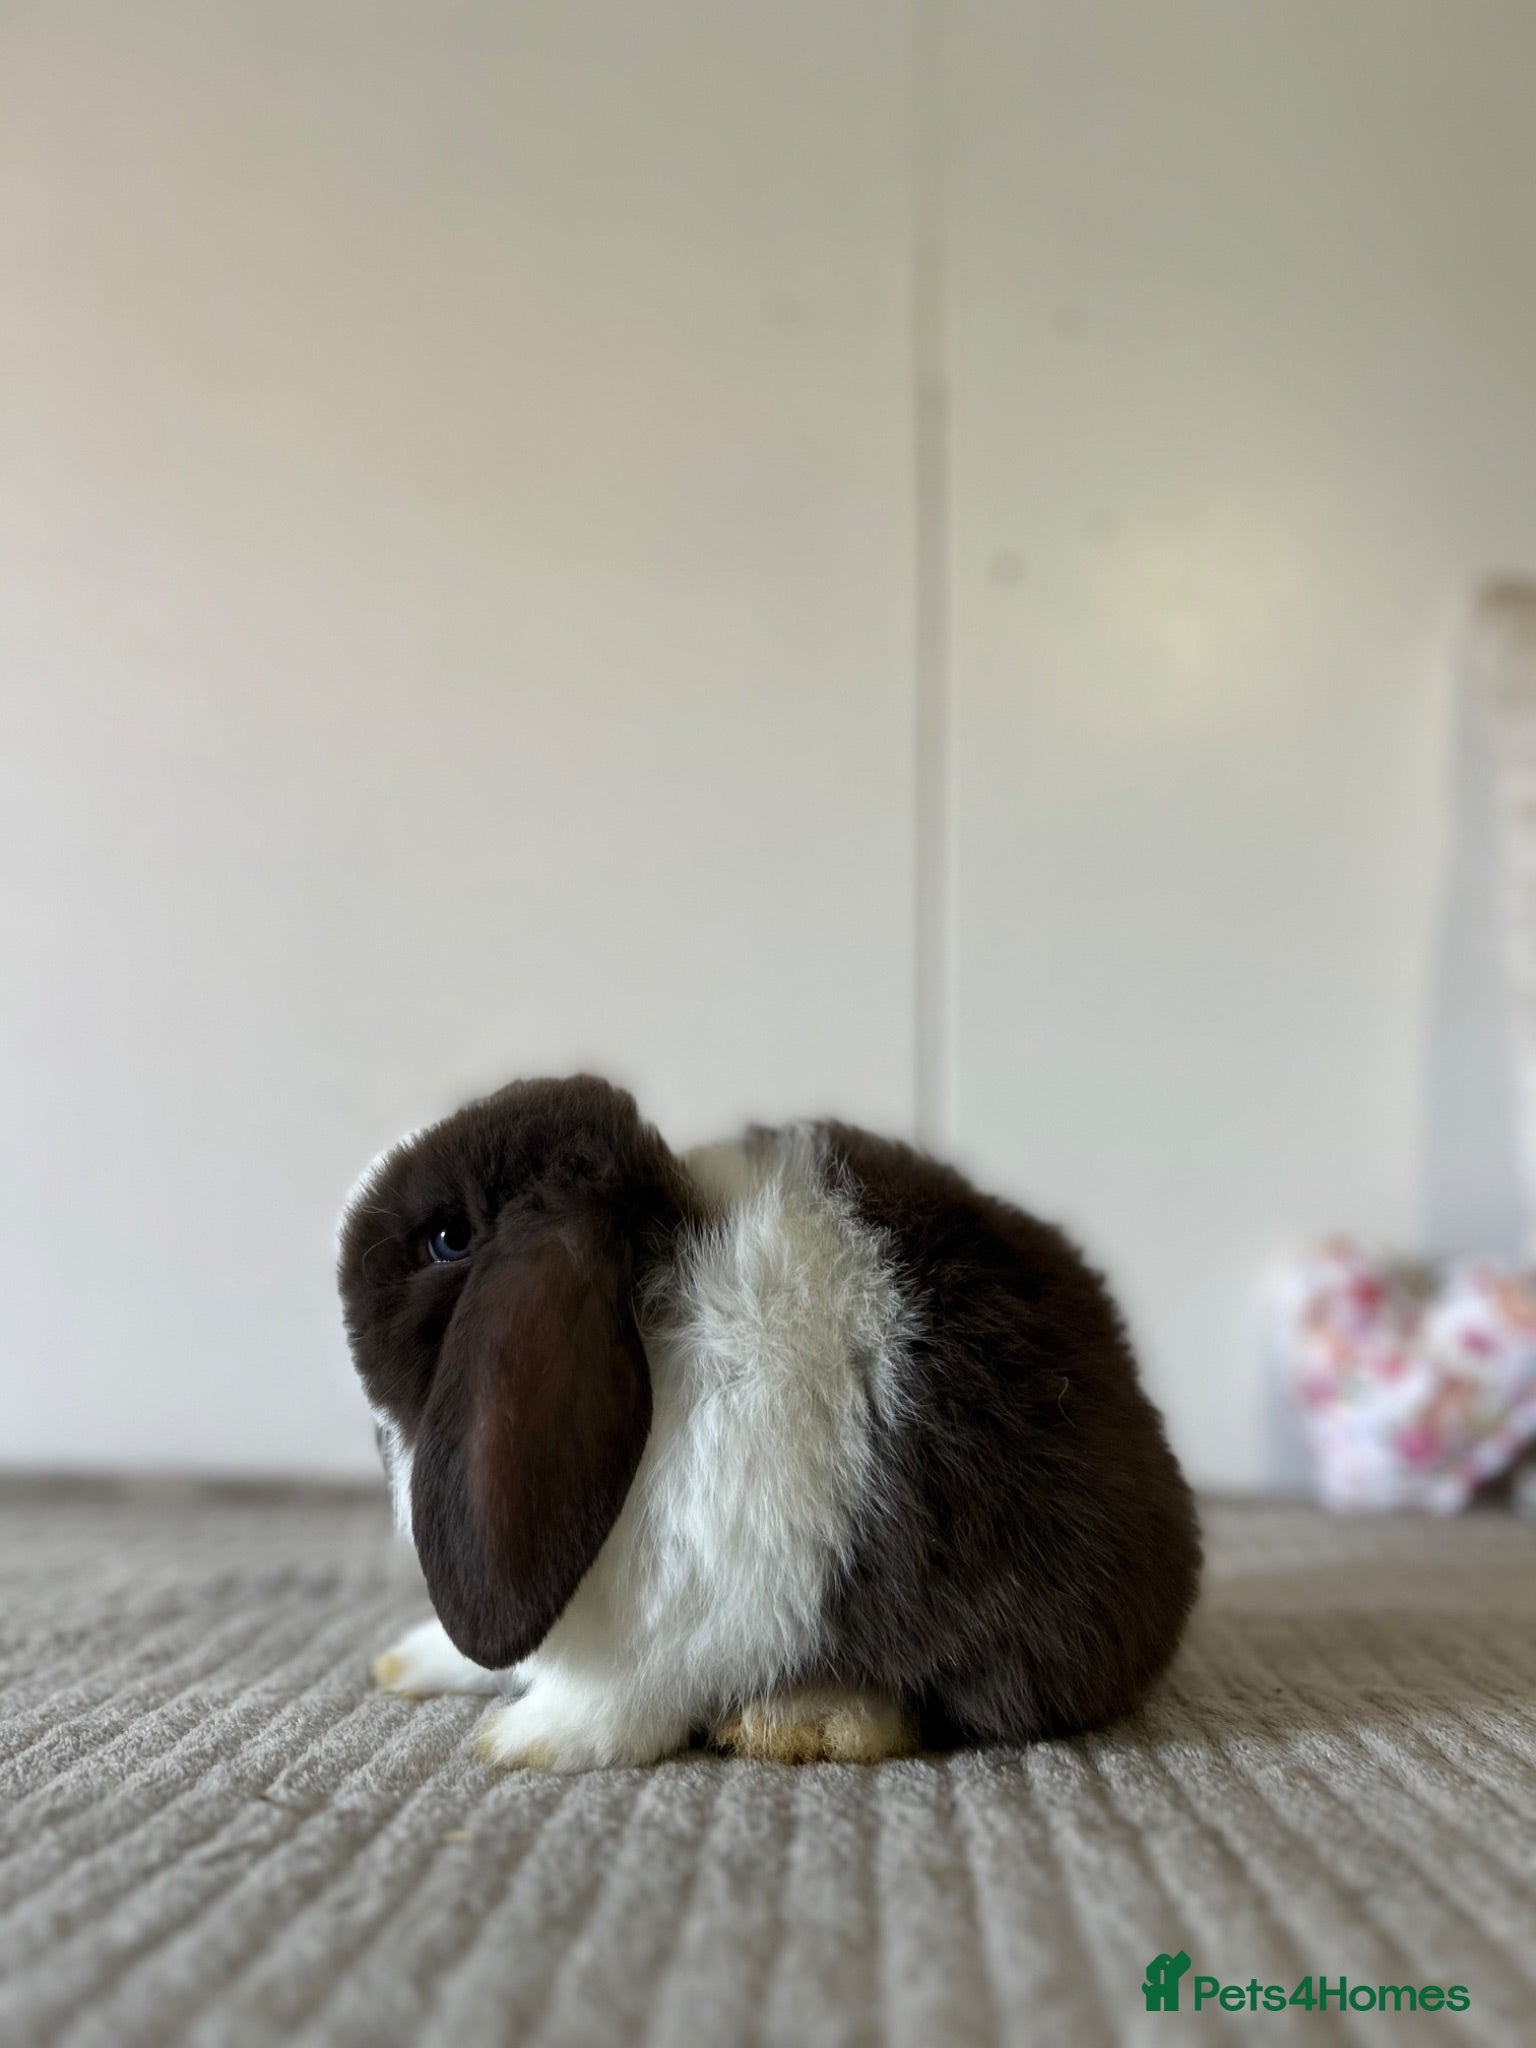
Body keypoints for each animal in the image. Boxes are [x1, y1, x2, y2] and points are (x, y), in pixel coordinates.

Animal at [338, 1074, 1200, 1771]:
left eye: (446, 1237)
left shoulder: (687, 1608)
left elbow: (623, 1700)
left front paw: (528, 1741)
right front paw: (411, 1663)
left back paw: (796, 1722)